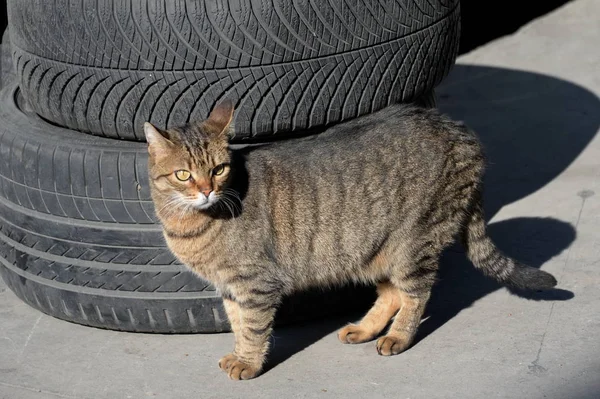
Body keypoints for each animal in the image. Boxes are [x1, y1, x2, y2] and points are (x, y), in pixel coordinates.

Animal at [143, 102, 556, 382]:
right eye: (183, 175)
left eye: (218, 169)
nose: (206, 190)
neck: (188, 225)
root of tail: (457, 128)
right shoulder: (229, 286)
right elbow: (237, 322)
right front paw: (238, 353)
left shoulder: (256, 284)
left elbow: (254, 327)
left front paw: (247, 362)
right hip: (375, 248)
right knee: (392, 293)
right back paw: (365, 329)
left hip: (414, 242)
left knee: (415, 294)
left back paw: (398, 337)